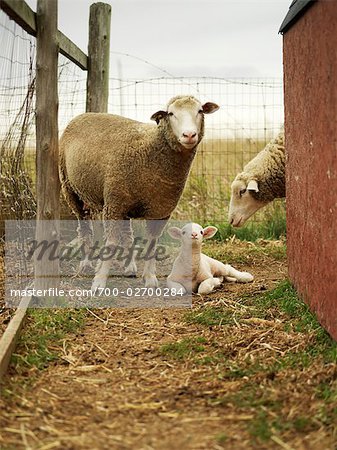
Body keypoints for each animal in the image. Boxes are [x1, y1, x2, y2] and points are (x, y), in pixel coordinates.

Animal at [59, 96, 219, 290]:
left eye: (200, 111)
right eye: (171, 113)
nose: (189, 135)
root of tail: (83, 115)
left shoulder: (160, 210)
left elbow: (152, 243)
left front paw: (150, 279)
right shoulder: (113, 205)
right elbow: (111, 242)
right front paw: (99, 282)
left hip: (123, 201)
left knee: (127, 234)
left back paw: (129, 267)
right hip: (72, 189)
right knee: (84, 228)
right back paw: (86, 264)